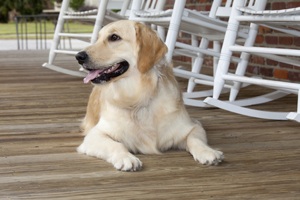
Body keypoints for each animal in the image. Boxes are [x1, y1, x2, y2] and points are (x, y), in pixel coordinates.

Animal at [76, 19, 224, 171]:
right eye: (98, 38)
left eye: (114, 37)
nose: (79, 56)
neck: (139, 96)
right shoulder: (95, 135)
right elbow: (116, 144)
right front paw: (126, 158)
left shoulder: (192, 126)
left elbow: (195, 139)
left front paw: (208, 152)